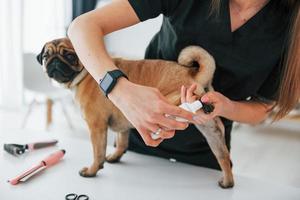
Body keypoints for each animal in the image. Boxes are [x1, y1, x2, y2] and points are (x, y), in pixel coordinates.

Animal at [37, 38, 234, 189]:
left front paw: (92, 170)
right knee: (223, 156)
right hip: (212, 131)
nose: (54, 61)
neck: (85, 74)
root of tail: (192, 73)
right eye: (46, 56)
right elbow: (122, 143)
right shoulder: (122, 125)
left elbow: (98, 152)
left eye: (70, 56)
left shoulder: (96, 126)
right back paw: (228, 181)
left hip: (171, 101)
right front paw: (115, 157)